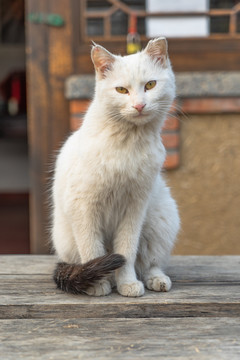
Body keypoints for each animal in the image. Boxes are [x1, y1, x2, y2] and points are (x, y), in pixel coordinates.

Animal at [52, 37, 180, 298]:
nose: (139, 105)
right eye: (121, 90)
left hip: (161, 220)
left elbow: (127, 252)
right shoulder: (83, 207)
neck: (128, 143)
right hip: (66, 241)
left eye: (150, 85)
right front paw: (97, 285)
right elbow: (92, 249)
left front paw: (128, 283)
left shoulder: (134, 209)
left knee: (149, 262)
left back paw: (156, 280)